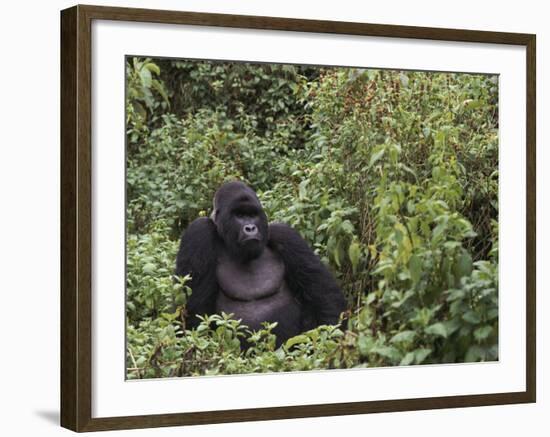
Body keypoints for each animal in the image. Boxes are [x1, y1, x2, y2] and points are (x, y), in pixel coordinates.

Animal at [177, 180, 348, 344]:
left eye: (253, 215)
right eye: (239, 215)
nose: (250, 228)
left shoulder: (286, 235)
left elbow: (325, 296)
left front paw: (329, 341)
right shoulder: (198, 232)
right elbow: (194, 313)